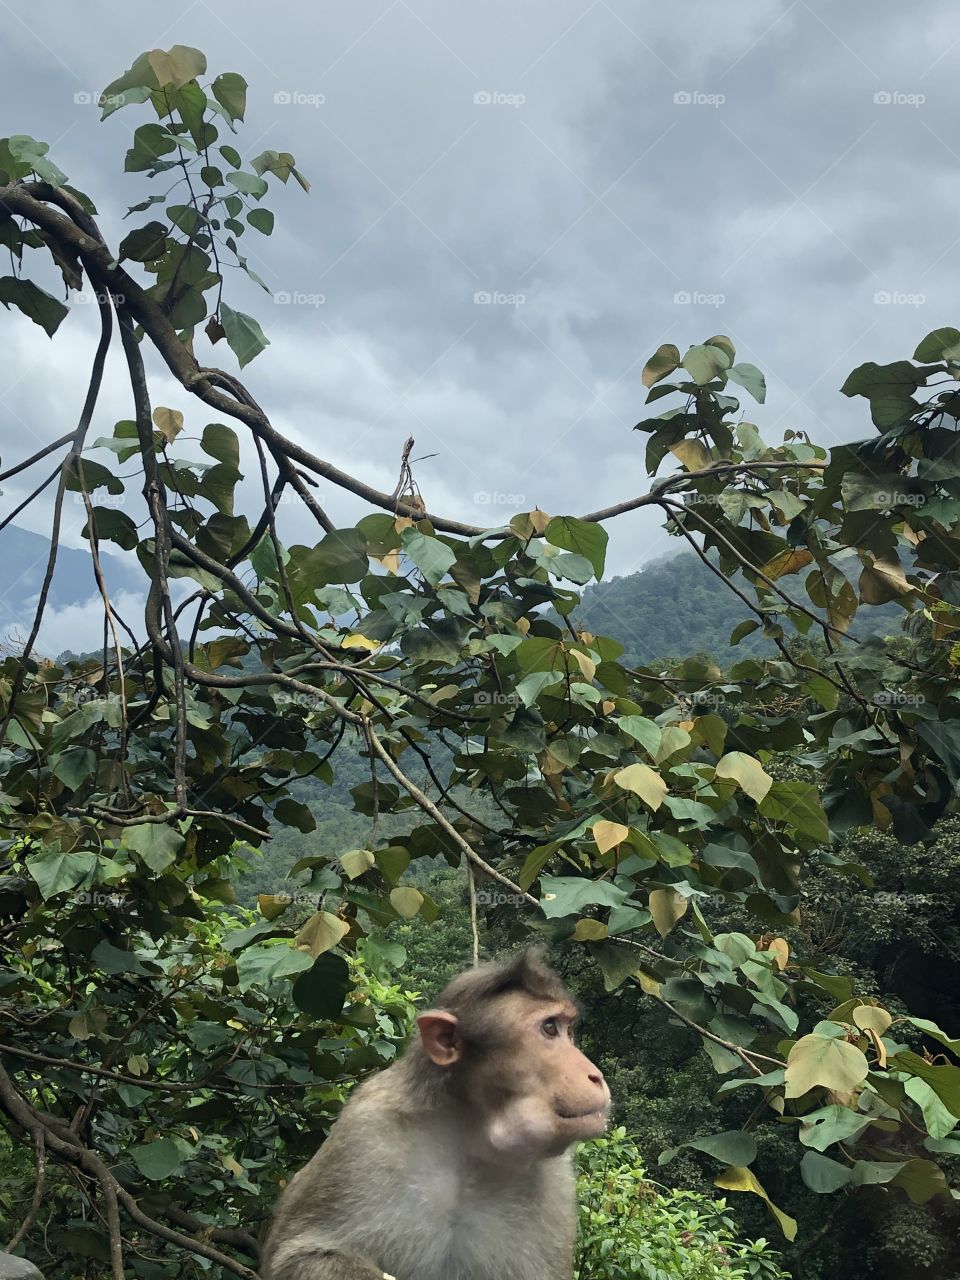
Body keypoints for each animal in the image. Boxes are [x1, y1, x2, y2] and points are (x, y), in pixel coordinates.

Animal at [262, 949, 611, 1280]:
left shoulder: (555, 1179)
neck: (471, 1147)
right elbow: (301, 1256)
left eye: (567, 1030)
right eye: (550, 1028)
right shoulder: (364, 1135)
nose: (596, 1075)